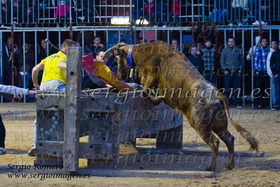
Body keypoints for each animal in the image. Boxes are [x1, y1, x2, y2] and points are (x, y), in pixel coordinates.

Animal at [103, 40, 258, 171]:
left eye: (117, 59)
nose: (119, 77)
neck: (143, 52)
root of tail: (217, 94)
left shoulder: (151, 75)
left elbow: (146, 89)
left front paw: (158, 98)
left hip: (200, 124)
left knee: (214, 142)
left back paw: (211, 167)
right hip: (219, 125)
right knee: (229, 139)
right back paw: (229, 165)